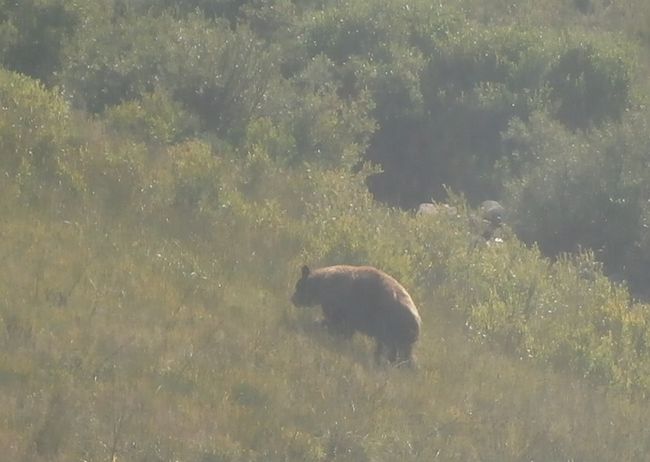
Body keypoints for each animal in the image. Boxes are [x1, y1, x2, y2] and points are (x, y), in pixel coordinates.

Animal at [290, 266, 420, 366]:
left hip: (391, 326)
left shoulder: (341, 307)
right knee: (394, 351)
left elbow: (336, 323)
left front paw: (320, 326)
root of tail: (417, 322)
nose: (293, 299)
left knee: (392, 349)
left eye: (298, 285)